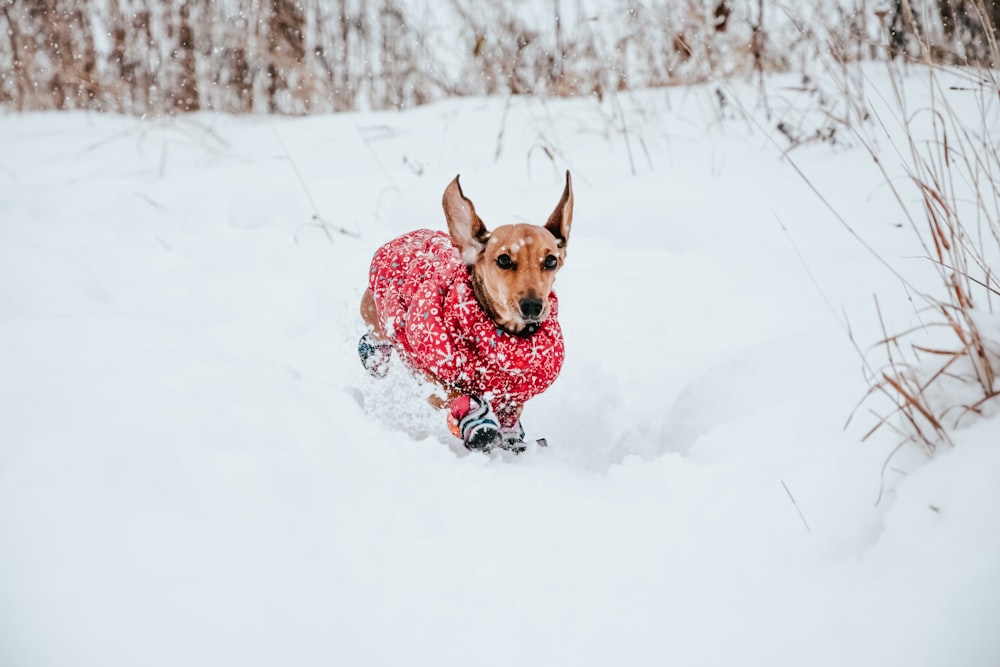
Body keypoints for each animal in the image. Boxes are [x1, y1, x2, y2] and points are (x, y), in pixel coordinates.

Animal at [362, 172, 576, 454]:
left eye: (551, 260)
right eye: (504, 259)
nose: (532, 306)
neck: (505, 340)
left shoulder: (513, 394)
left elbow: (510, 417)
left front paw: (513, 441)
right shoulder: (431, 377)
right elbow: (457, 395)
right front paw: (480, 425)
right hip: (378, 318)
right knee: (374, 337)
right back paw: (372, 356)